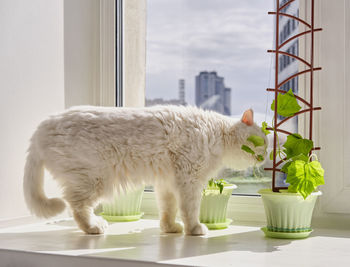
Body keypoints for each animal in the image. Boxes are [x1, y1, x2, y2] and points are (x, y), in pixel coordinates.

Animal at [23, 105, 266, 236]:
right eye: (260, 142)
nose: (264, 157)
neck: (218, 133)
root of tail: (42, 126)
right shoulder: (189, 181)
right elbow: (190, 210)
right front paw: (195, 229)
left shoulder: (167, 183)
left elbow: (168, 210)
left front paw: (170, 228)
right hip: (94, 180)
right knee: (76, 206)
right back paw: (94, 227)